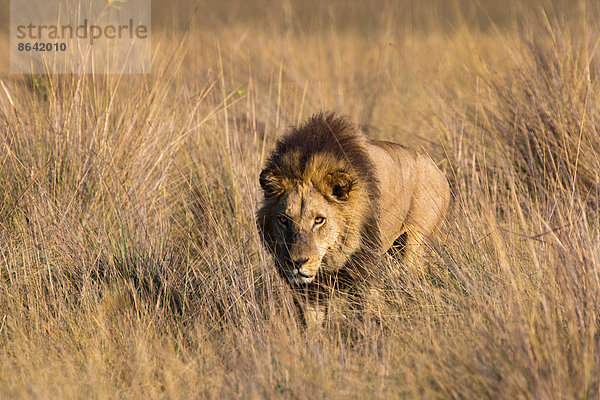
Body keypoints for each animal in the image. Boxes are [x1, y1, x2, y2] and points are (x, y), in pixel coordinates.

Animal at [255, 112, 448, 324]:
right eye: (283, 220)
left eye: (319, 220)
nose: (297, 263)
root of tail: (436, 167)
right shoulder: (307, 291)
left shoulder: (364, 272)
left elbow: (366, 314)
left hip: (414, 248)